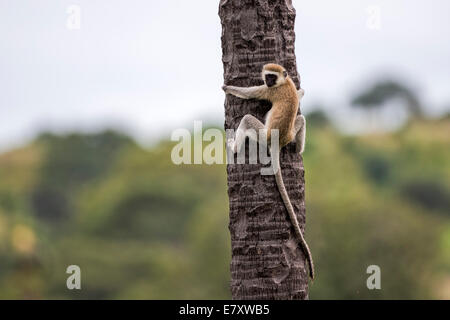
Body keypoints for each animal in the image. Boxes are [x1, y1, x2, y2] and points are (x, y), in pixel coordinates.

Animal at [221, 63, 312, 280]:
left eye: (271, 77)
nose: (269, 81)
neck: (283, 82)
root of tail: (278, 142)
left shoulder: (268, 91)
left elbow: (248, 93)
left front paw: (227, 88)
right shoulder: (287, 85)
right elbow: (300, 93)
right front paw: (301, 93)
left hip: (262, 135)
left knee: (247, 119)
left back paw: (233, 147)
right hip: (290, 133)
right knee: (301, 119)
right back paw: (298, 149)